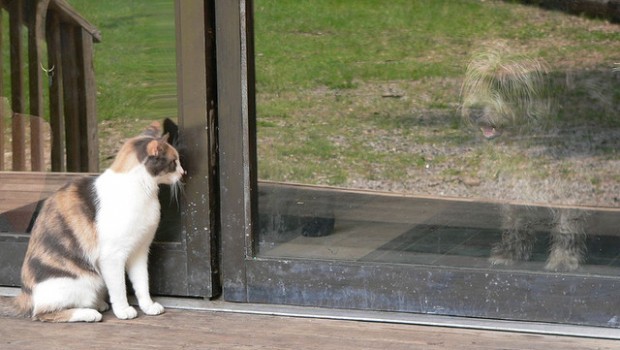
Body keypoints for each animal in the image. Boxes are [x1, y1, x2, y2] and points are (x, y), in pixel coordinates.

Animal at [0, 121, 184, 322]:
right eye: (174, 162)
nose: (183, 172)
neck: (143, 191)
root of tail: (25, 295)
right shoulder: (112, 257)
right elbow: (118, 287)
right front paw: (123, 310)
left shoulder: (140, 250)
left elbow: (142, 282)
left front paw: (148, 306)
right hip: (84, 281)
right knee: (43, 313)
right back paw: (90, 313)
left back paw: (98, 305)